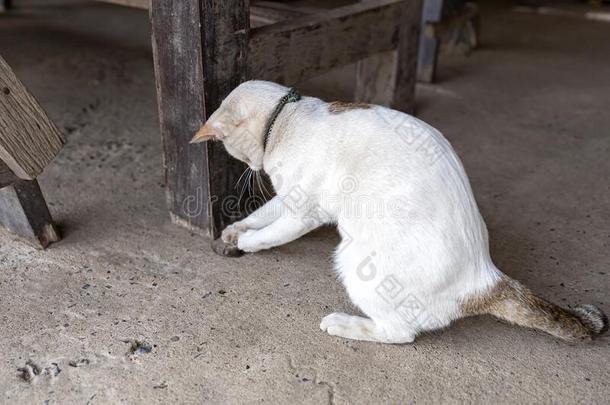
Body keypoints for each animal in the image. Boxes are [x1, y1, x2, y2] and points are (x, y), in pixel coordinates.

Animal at [190, 79, 604, 344]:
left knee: (400, 334)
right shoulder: (286, 198)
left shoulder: (302, 211)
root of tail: (485, 276)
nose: (251, 168)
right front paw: (235, 230)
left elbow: (269, 234)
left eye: (229, 149)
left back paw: (342, 324)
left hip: (353, 258)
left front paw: (247, 243)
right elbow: (260, 215)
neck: (287, 118)